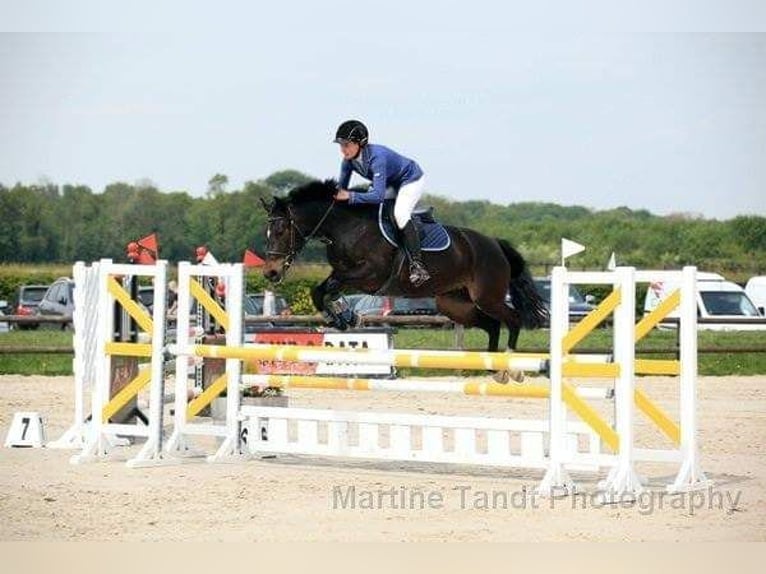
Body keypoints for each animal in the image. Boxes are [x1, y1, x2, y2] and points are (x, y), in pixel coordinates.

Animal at [260, 179, 548, 381]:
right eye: (268, 232)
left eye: (281, 230)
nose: (270, 272)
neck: (346, 227)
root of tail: (495, 244)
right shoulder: (344, 273)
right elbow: (323, 290)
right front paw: (345, 318)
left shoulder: (370, 274)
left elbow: (326, 288)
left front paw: (344, 318)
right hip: (453, 303)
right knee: (492, 325)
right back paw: (494, 368)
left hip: (487, 296)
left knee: (512, 319)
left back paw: (511, 368)